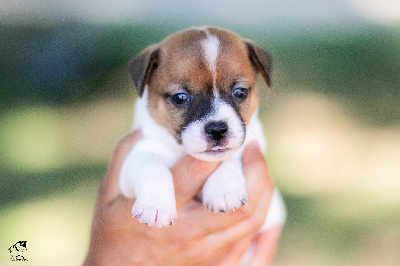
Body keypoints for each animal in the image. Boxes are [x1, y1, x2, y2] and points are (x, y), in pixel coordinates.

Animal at [118, 26, 284, 230]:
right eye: (180, 97)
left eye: (240, 92)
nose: (217, 129)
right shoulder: (140, 153)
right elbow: (153, 168)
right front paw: (156, 206)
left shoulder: (254, 141)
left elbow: (233, 156)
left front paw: (223, 189)